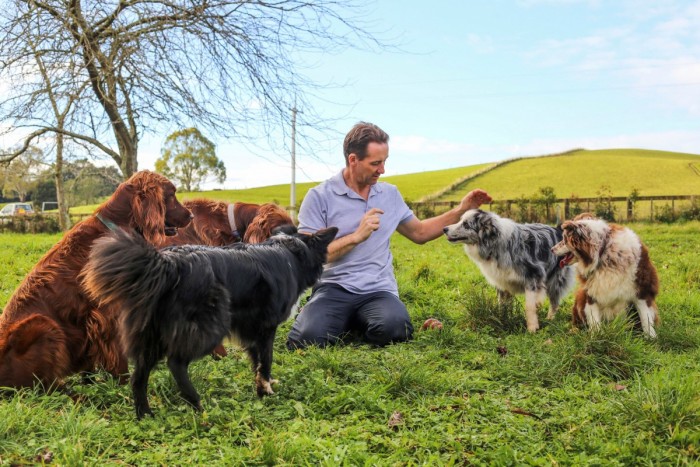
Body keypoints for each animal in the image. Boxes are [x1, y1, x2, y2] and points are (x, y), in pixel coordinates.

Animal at [0, 171, 191, 388]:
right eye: (172, 194)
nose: (191, 215)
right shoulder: (108, 313)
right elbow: (118, 357)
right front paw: (123, 387)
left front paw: (92, 383)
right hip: (43, 324)